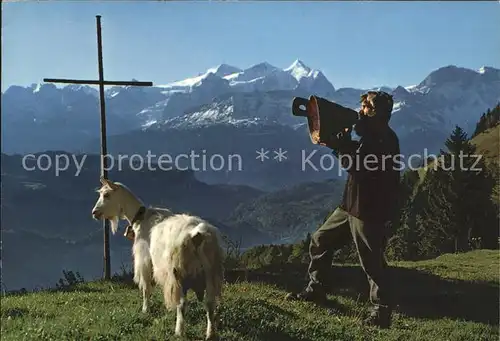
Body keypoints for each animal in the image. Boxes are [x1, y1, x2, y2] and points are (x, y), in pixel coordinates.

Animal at [91, 177, 225, 338]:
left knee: (182, 302)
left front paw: (145, 310)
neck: (140, 218)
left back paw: (179, 331)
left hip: (179, 272)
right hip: (211, 272)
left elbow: (146, 287)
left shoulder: (144, 259)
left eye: (106, 194)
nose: (94, 212)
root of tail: (198, 234)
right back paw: (210, 334)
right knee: (209, 303)